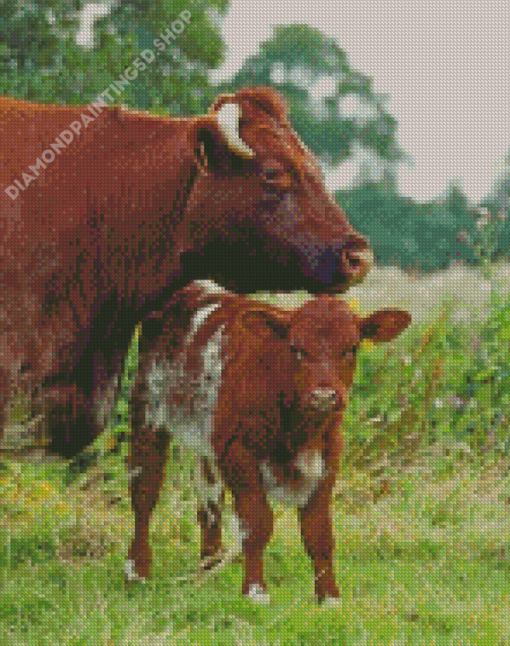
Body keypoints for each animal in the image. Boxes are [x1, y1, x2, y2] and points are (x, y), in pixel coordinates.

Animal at [127, 280, 410, 604]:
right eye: (296, 349)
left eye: (351, 348)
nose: (324, 396)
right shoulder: (238, 453)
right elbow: (256, 524)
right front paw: (255, 591)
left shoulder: (329, 458)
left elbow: (319, 532)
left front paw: (329, 598)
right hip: (148, 411)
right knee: (144, 491)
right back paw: (137, 572)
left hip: (207, 440)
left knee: (209, 502)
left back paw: (208, 570)